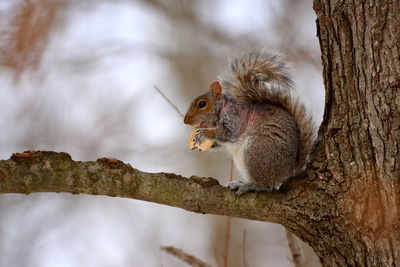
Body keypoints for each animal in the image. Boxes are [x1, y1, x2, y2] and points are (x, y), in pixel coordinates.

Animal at [184, 50, 316, 196]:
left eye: (202, 104)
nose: (185, 121)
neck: (221, 111)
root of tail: (287, 171)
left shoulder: (235, 120)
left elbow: (228, 134)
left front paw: (203, 133)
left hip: (255, 152)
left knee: (265, 185)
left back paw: (247, 186)